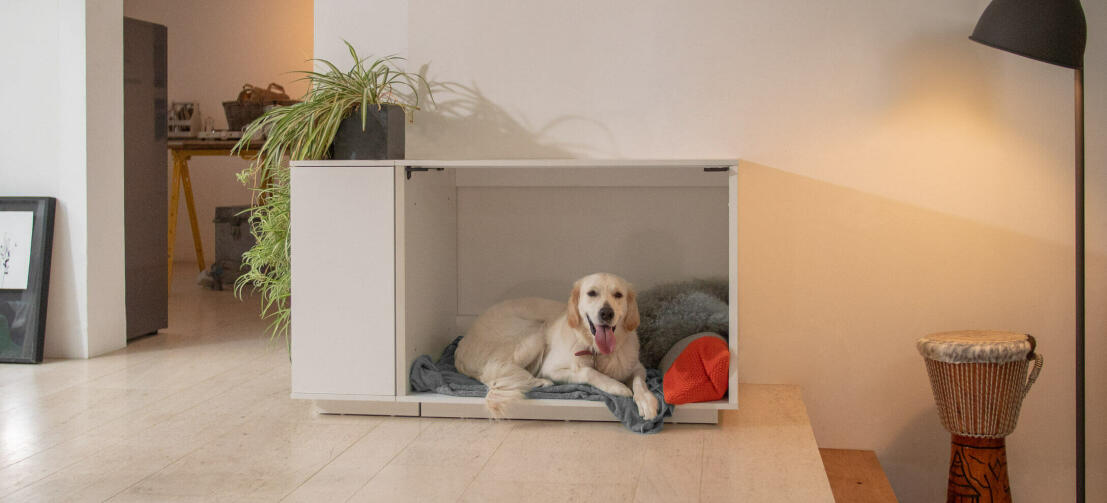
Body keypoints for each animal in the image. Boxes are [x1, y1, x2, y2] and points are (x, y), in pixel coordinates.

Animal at [456, 273, 655, 418]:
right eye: (592, 293)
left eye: (618, 295)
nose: (606, 313)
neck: (597, 351)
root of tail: (462, 346)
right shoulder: (551, 368)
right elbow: (588, 371)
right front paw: (616, 386)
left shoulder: (637, 366)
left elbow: (639, 381)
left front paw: (646, 401)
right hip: (535, 332)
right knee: (495, 373)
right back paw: (541, 382)